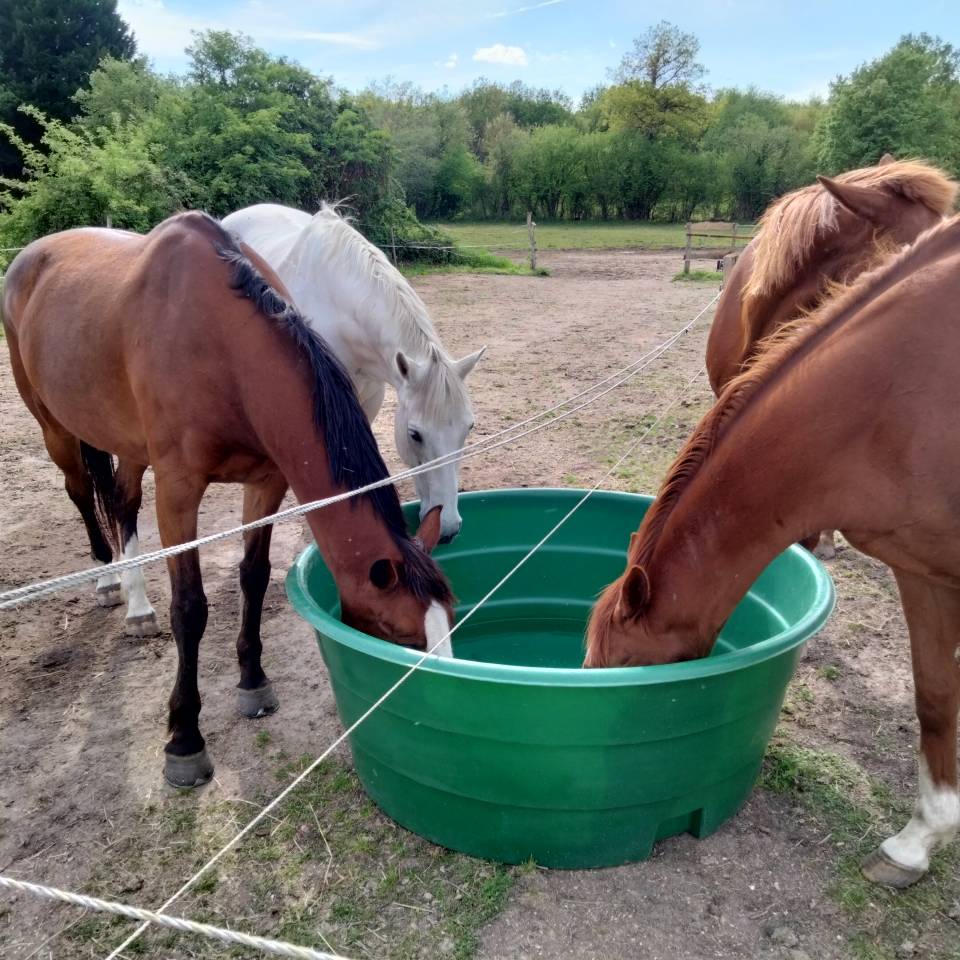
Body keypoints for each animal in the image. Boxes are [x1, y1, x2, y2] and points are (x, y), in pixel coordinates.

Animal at [1, 211, 454, 788]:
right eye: (404, 639)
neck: (224, 350)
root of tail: (30, 255)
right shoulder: (178, 492)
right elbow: (190, 607)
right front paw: (184, 738)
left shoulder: (267, 481)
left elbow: (254, 576)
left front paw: (253, 681)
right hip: (54, 426)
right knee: (83, 493)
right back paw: (110, 583)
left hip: (126, 440)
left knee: (121, 500)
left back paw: (133, 597)